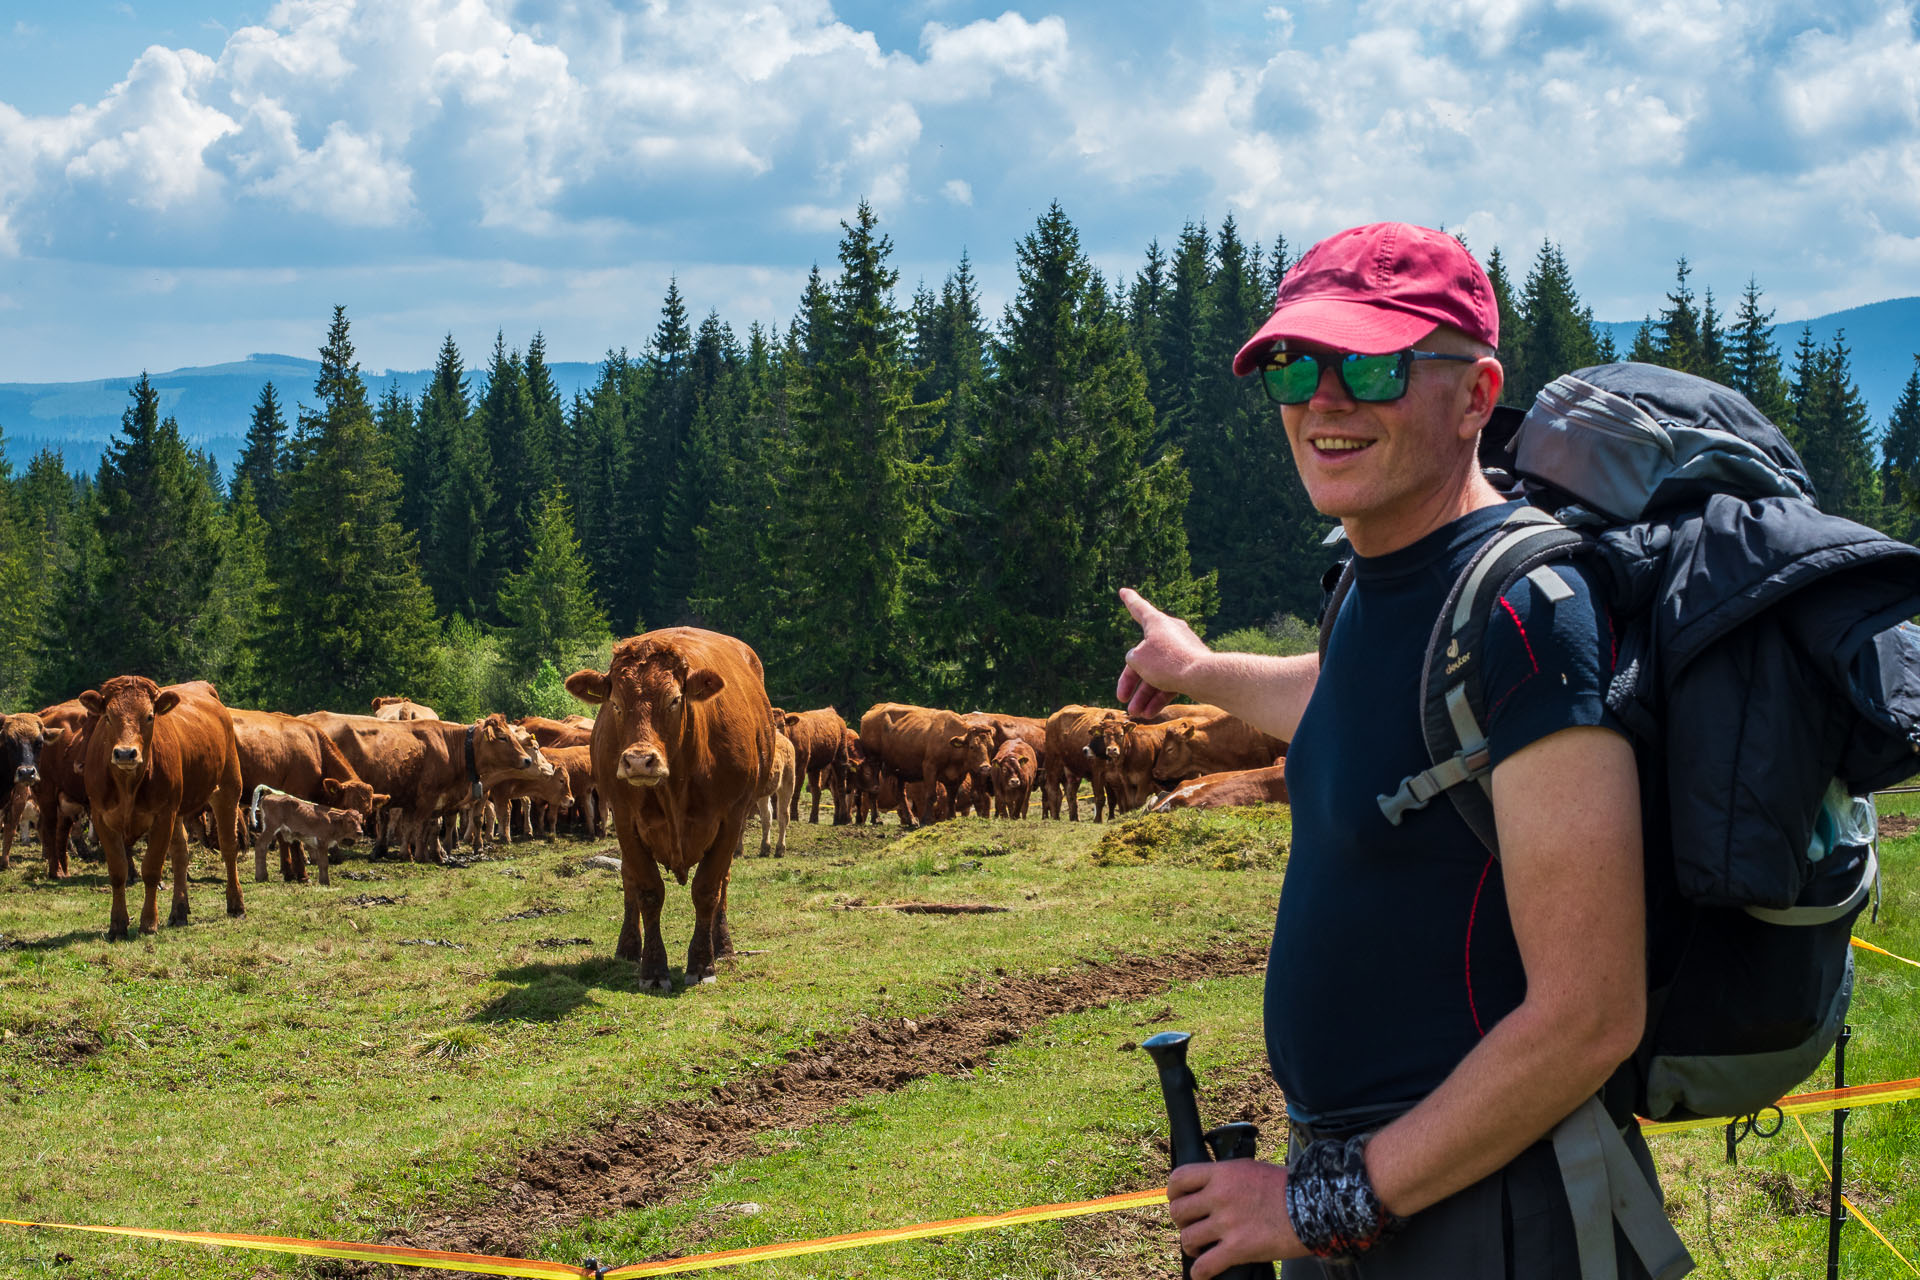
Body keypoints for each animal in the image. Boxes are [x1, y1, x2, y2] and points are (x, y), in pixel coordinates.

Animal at [80, 679, 245, 940]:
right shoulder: (102, 817)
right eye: (108, 716)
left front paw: (148, 923)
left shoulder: (162, 816)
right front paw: (117, 924)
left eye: (149, 716)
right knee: (180, 854)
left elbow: (151, 869)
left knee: (229, 847)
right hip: (179, 812)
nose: (125, 753)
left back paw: (236, 903)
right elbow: (117, 871)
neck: (128, 785)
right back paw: (179, 910)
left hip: (228, 788)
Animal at [560, 625, 771, 990]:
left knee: (723, 882)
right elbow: (647, 890)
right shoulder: (626, 820)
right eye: (615, 704)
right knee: (629, 879)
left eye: (673, 700)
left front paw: (703, 964)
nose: (638, 760)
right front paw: (653, 970)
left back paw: (723, 947)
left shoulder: (731, 818)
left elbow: (708, 889)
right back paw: (628, 948)